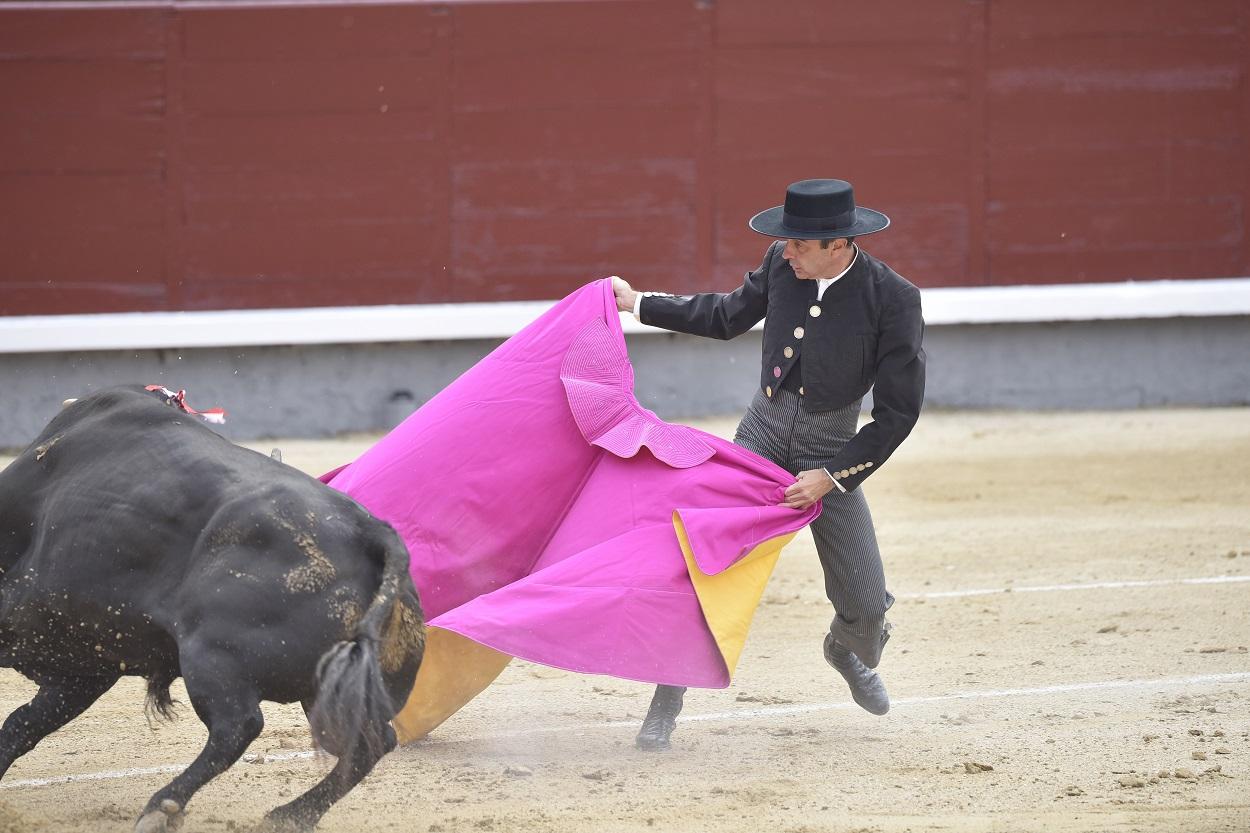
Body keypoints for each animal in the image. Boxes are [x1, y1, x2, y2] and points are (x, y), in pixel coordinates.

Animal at [0, 385, 425, 825]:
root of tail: (372, 533)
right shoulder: (82, 667)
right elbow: (21, 724)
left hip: (212, 656)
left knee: (237, 728)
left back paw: (162, 808)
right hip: (328, 689)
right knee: (370, 743)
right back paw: (289, 816)